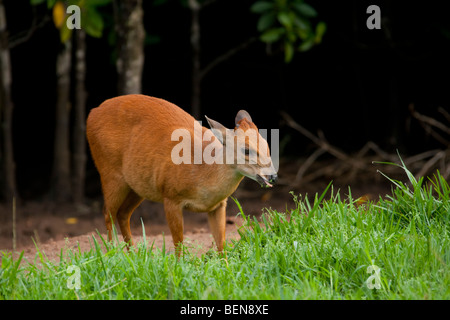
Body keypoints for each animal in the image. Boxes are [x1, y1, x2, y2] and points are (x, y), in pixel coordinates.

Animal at [86, 94, 278, 254]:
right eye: (246, 149)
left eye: (267, 145)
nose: (272, 176)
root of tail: (91, 113)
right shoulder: (171, 196)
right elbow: (178, 244)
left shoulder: (219, 205)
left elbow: (221, 245)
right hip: (110, 172)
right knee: (108, 213)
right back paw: (113, 255)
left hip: (138, 185)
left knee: (122, 214)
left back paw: (134, 255)